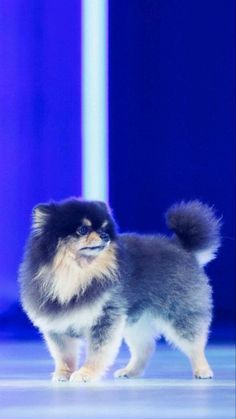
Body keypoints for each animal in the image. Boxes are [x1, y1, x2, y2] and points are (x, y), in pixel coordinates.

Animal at [18, 199, 221, 382]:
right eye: (82, 229)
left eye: (104, 229)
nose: (105, 236)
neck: (76, 274)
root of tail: (182, 247)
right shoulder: (58, 323)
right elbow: (64, 355)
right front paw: (63, 373)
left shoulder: (104, 318)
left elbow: (97, 352)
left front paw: (86, 374)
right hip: (137, 322)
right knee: (145, 348)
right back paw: (130, 371)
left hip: (180, 312)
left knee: (195, 344)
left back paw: (202, 370)